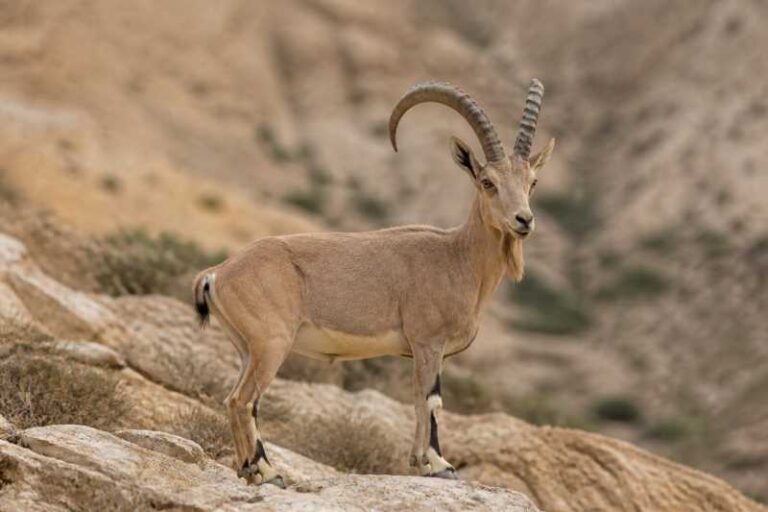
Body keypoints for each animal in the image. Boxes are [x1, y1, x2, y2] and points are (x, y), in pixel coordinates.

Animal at [194, 80, 555, 487]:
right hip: (272, 343)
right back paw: (268, 472)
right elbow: (431, 398)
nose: (524, 220)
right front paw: (439, 465)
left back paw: (248, 469)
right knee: (245, 400)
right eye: (487, 182)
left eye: (532, 182)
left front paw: (419, 463)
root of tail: (217, 272)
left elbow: (417, 398)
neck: (458, 257)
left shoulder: (424, 351)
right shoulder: (428, 341)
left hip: (246, 347)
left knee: (232, 398)